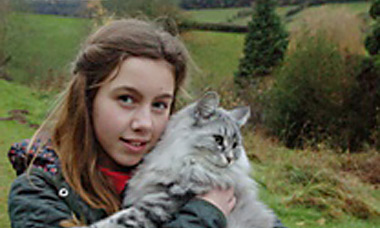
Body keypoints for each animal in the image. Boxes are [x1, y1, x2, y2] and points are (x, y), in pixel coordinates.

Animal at [78, 91, 274, 228]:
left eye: (235, 145)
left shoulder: (161, 204)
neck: (188, 165)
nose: (230, 158)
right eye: (218, 140)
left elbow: (114, 220)